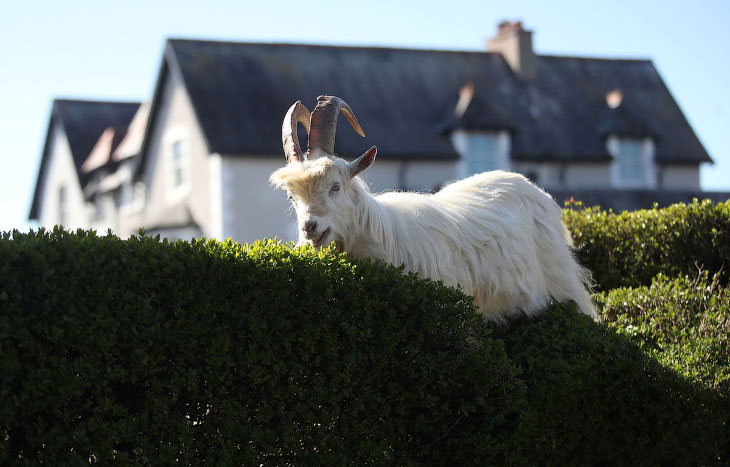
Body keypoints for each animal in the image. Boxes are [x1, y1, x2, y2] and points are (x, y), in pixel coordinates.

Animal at [270, 95, 596, 322]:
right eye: (292, 198)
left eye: (335, 186)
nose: (309, 227)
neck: (379, 236)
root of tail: (529, 186)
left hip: (563, 284)